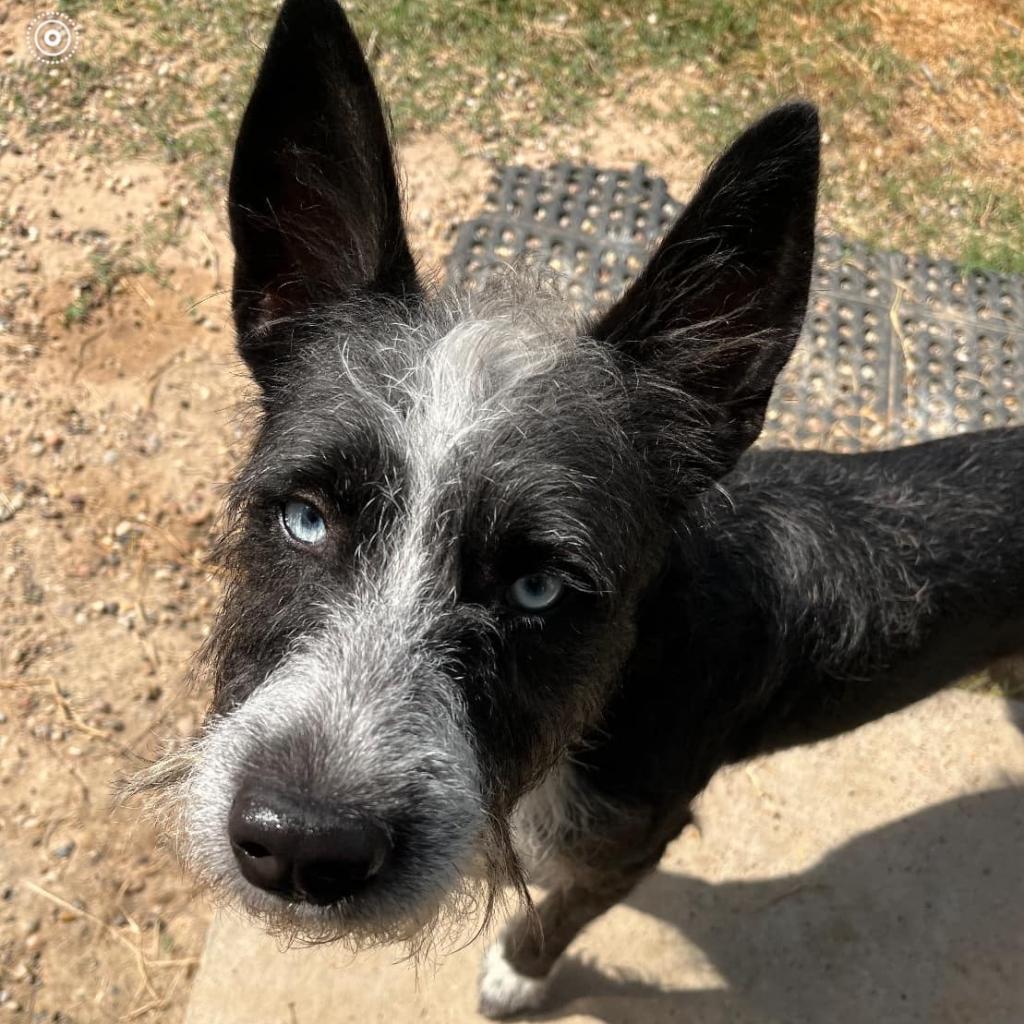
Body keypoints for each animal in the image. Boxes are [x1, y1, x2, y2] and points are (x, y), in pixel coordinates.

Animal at [128, 0, 1024, 1015]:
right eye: (306, 517)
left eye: (539, 588)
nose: (300, 845)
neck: (624, 678)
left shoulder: (633, 841)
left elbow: (562, 910)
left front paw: (519, 973)